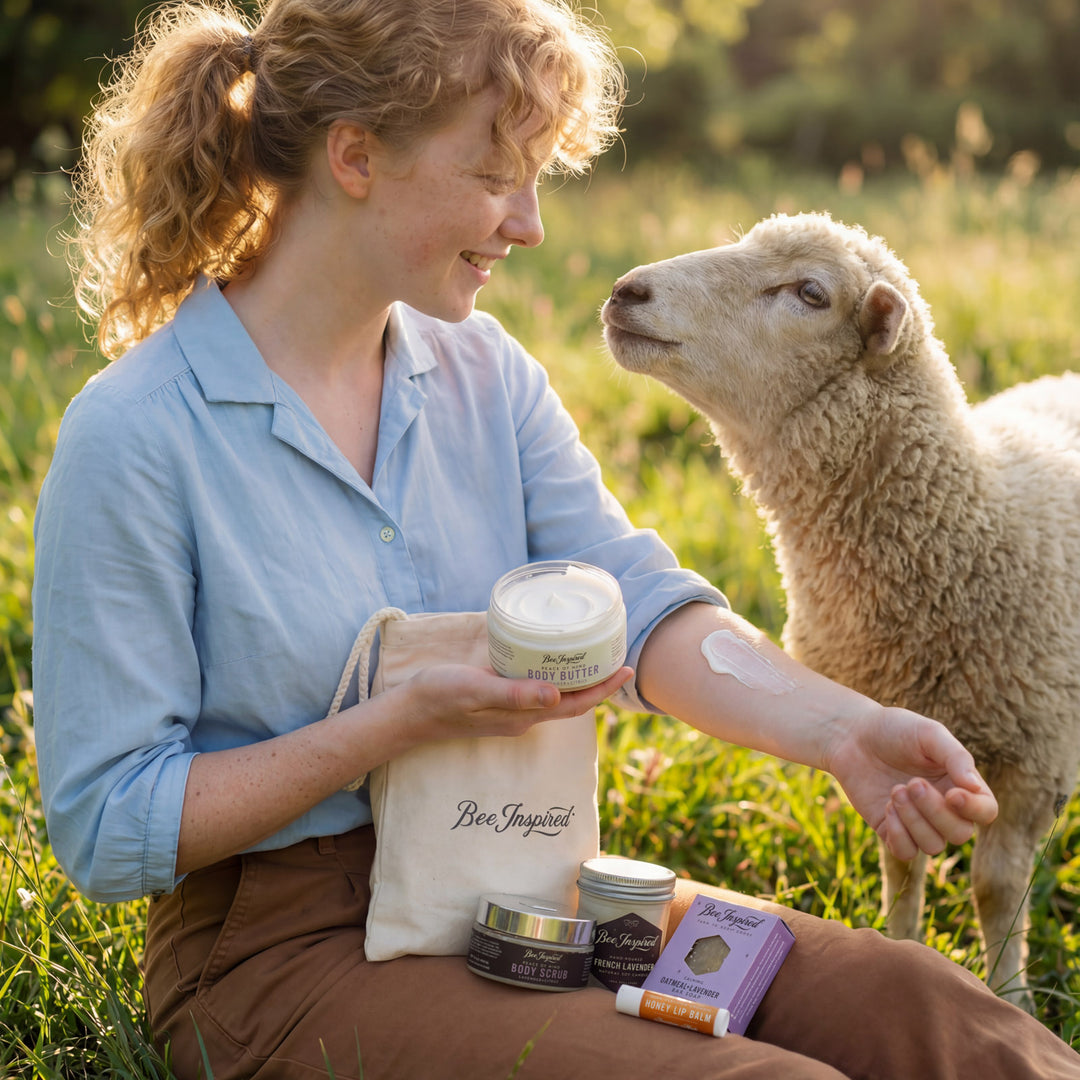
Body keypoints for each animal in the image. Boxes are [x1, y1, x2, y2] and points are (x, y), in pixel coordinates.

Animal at [600, 211, 1080, 1012]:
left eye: (810, 293)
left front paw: (1010, 996)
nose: (626, 290)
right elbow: (900, 860)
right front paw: (904, 949)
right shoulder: (889, 734)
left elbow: (995, 887)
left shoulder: (1036, 753)